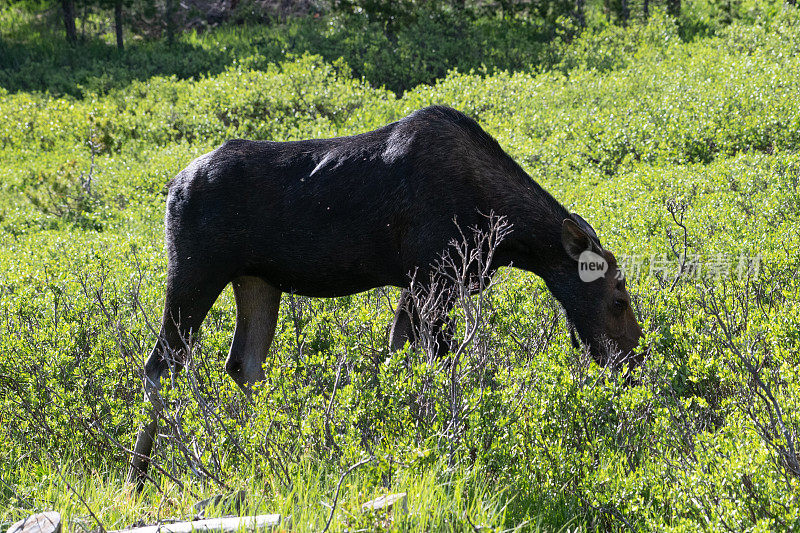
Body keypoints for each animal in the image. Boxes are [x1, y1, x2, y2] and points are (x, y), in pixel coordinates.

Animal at [131, 106, 644, 484]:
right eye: (618, 301)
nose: (635, 366)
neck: (507, 236)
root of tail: (171, 187)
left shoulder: (421, 283)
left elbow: (399, 356)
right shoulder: (432, 276)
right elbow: (435, 362)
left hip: (257, 280)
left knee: (243, 363)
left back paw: (282, 446)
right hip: (196, 270)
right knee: (160, 365)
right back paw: (138, 474)